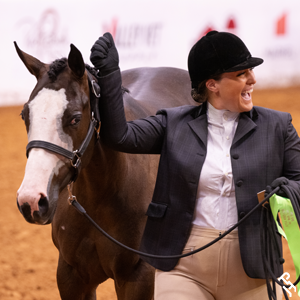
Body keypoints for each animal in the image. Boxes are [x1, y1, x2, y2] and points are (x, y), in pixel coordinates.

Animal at [15, 42, 196, 300]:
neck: (101, 197)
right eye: (24, 115)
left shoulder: (137, 277)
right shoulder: (72, 277)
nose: (31, 200)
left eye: (75, 118)